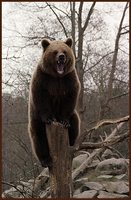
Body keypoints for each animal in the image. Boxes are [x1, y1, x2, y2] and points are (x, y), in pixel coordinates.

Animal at [28, 37, 80, 167]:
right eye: (55, 51)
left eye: (64, 51)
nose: (61, 57)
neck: (57, 76)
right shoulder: (43, 79)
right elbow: (41, 99)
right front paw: (49, 118)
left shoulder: (68, 79)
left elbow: (69, 100)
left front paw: (64, 121)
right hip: (35, 119)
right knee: (39, 137)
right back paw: (45, 160)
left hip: (73, 116)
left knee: (75, 122)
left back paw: (71, 143)